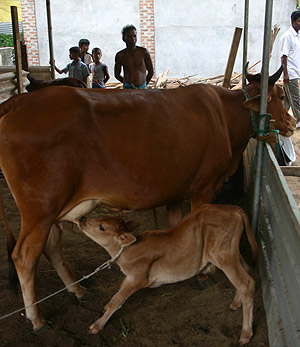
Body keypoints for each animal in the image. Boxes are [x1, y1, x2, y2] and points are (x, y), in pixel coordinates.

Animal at [78, 204, 258, 346]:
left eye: (101, 227)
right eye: (103, 217)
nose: (82, 219)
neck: (127, 251)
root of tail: (231, 208)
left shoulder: (136, 278)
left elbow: (116, 301)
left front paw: (96, 325)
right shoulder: (128, 278)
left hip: (222, 256)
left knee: (246, 282)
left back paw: (245, 334)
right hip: (233, 253)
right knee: (247, 271)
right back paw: (235, 304)